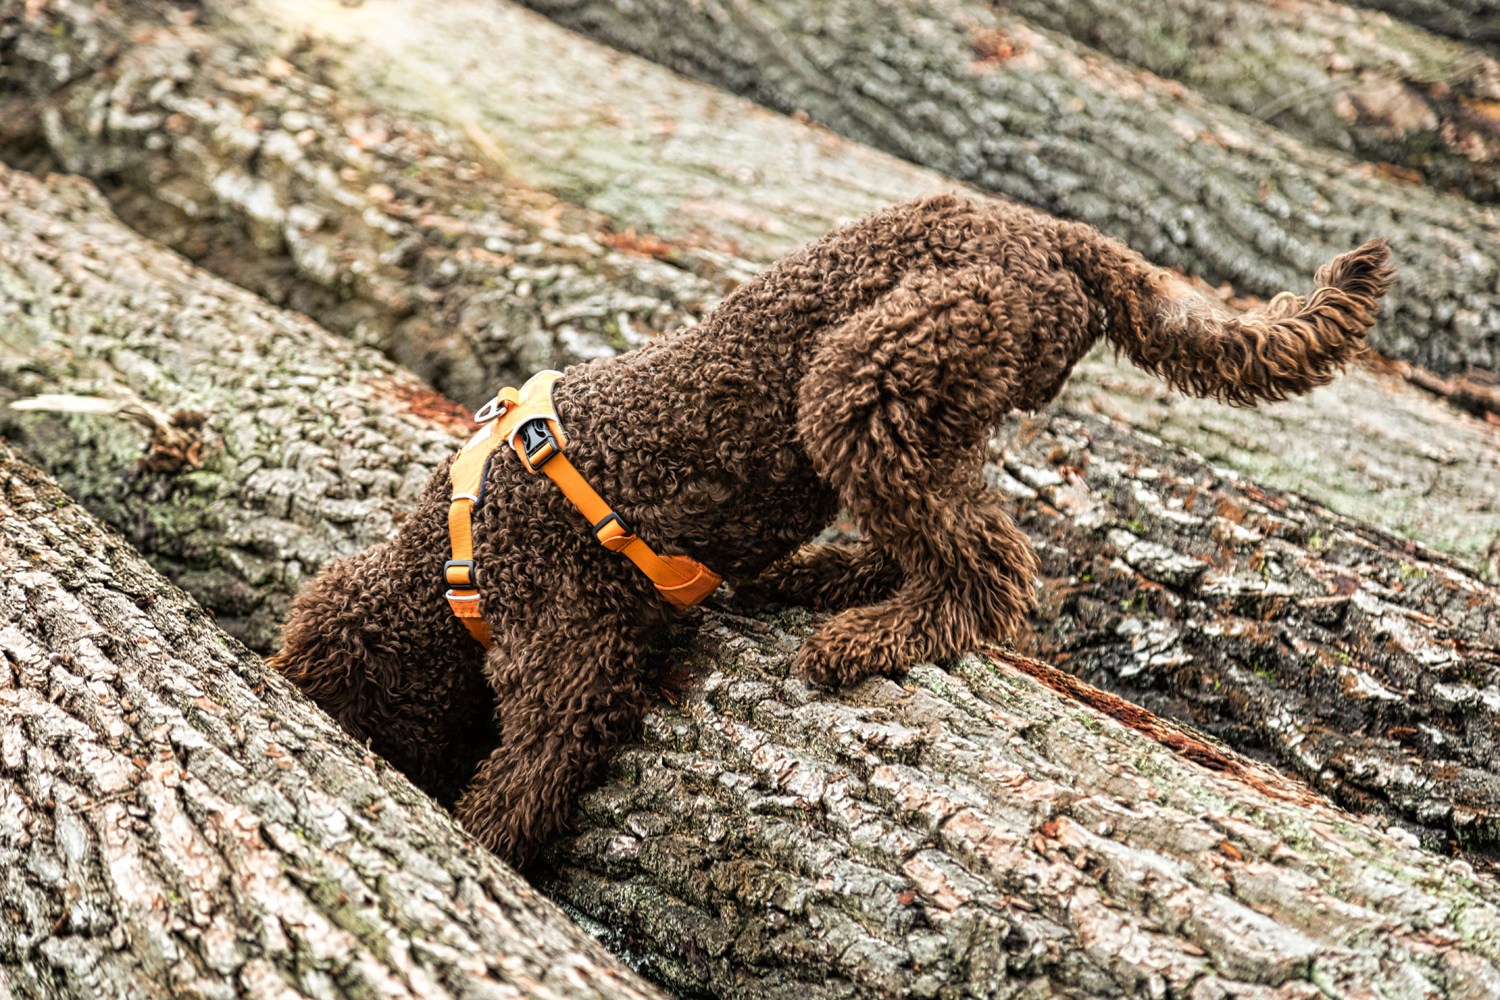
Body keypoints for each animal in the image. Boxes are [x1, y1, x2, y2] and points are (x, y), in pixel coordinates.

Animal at [270, 194, 1392, 869]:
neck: (450, 561)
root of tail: (1049, 235)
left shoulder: (572, 666)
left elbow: (518, 787)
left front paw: (477, 841)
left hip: (874, 372)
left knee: (989, 567)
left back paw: (870, 633)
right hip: (921, 405)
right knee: (942, 531)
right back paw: (824, 580)